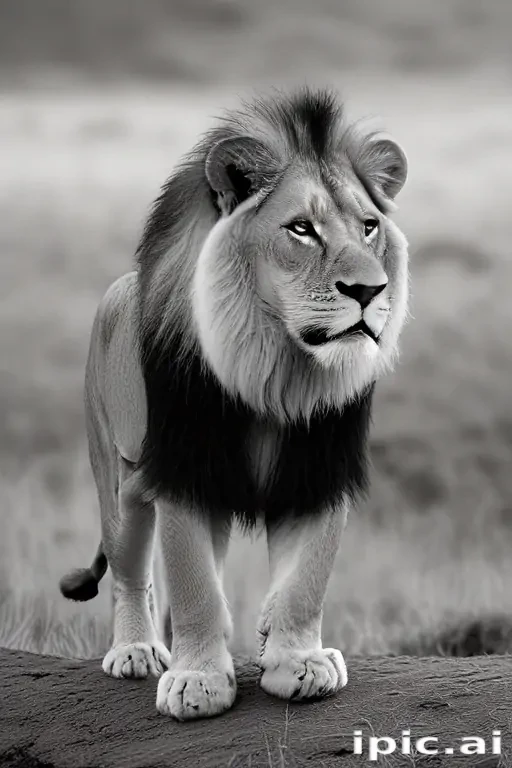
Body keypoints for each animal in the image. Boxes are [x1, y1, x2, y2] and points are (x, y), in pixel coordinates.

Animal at [59, 87, 409, 721]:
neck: (278, 371)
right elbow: (195, 584)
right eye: (302, 229)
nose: (370, 291)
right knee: (131, 571)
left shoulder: (319, 469)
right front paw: (198, 681)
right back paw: (137, 651)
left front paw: (298, 661)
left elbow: (306, 581)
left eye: (369, 226)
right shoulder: (185, 470)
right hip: (119, 477)